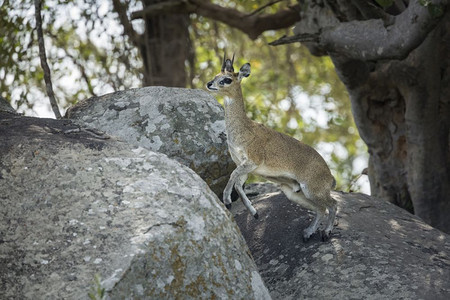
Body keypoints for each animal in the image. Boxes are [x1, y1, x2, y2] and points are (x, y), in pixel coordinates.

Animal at [207, 54, 338, 241]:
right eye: (216, 75)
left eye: (227, 79)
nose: (209, 84)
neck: (244, 129)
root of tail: (330, 177)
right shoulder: (243, 165)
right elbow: (238, 184)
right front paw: (254, 213)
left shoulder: (252, 161)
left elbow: (233, 177)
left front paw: (227, 201)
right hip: (294, 192)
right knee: (321, 208)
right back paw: (308, 233)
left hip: (313, 189)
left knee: (332, 204)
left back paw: (326, 233)